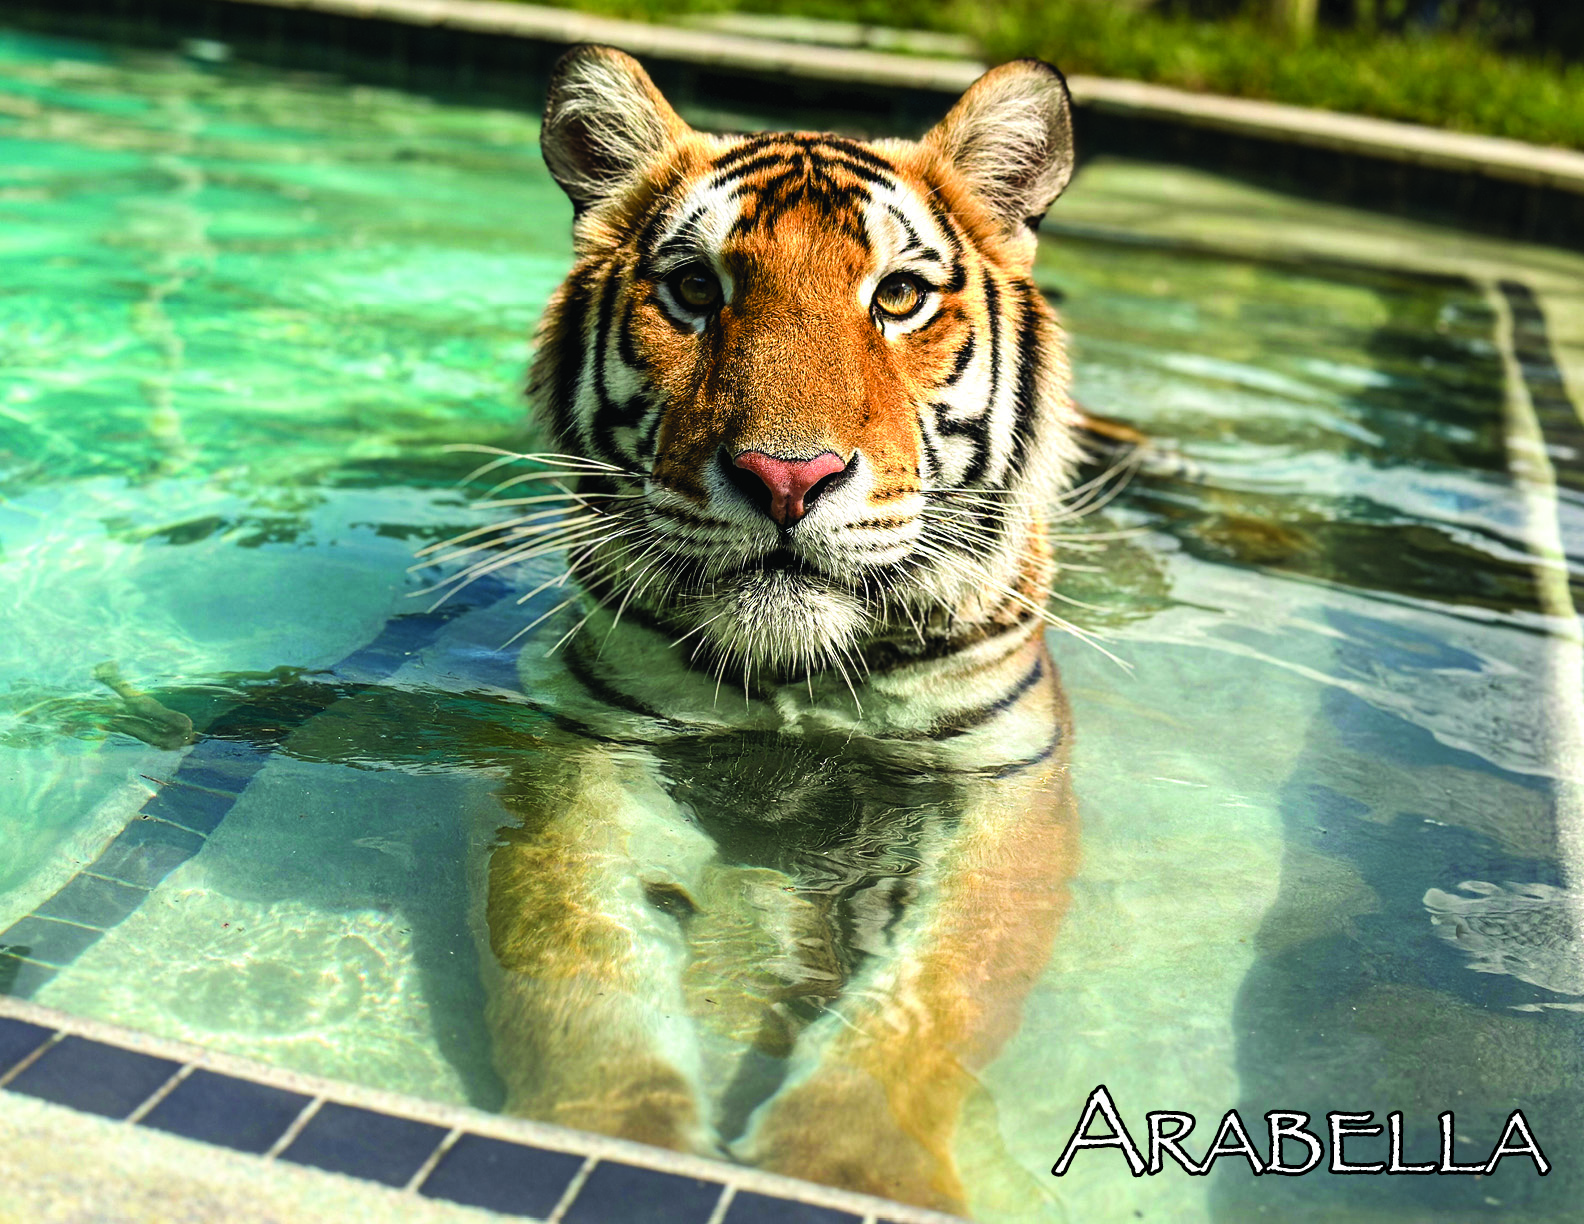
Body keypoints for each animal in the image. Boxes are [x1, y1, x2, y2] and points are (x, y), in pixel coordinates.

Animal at [468, 44, 1087, 1216]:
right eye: (694, 289)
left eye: (899, 296)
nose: (787, 478)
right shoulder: (599, 742)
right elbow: (574, 953)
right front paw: (616, 1141)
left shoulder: (998, 787)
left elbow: (934, 999)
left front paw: (843, 1166)